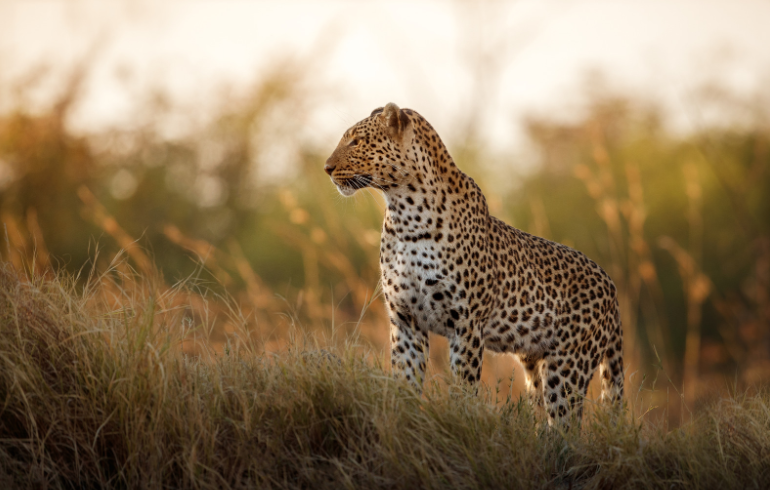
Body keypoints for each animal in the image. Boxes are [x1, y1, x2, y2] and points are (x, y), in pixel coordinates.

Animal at [324, 102, 624, 424]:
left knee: (566, 423)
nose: (326, 168)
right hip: (535, 363)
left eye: (356, 142)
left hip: (568, 366)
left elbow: (463, 388)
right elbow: (405, 384)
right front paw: (403, 422)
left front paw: (459, 420)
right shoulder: (406, 320)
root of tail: (610, 285)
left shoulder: (465, 323)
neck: (405, 214)